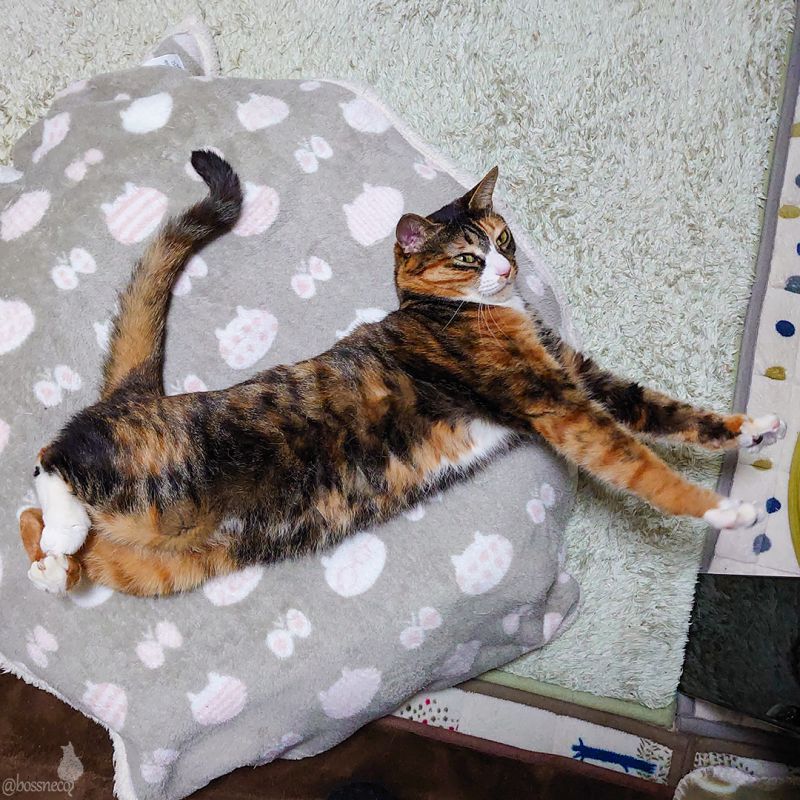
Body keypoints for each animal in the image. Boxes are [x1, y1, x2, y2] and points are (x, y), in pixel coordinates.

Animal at [19, 150, 785, 597]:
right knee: (52, 460)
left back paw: (55, 567)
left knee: (51, 528)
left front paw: (756, 429)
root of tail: (139, 395)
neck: (477, 312)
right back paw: (61, 532)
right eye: (468, 257)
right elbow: (636, 460)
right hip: (154, 468)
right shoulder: (551, 397)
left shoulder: (578, 375)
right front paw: (726, 511)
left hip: (167, 559)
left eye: (504, 239)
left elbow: (660, 409)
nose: (506, 268)